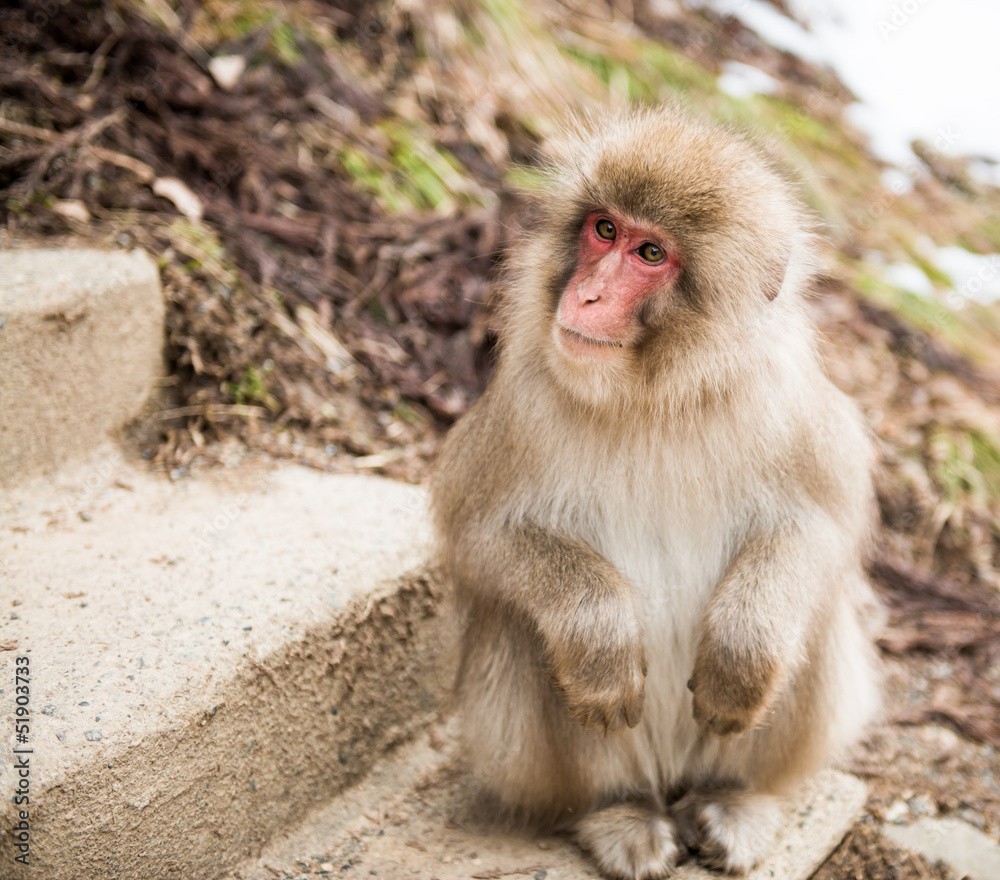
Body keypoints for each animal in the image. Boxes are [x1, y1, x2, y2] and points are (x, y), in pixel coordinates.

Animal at [426, 105, 880, 880]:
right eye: (603, 230)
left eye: (649, 253)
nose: (587, 295)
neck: (655, 397)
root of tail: (671, 781)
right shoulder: (523, 398)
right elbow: (479, 536)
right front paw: (600, 633)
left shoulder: (788, 400)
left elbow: (825, 527)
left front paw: (742, 649)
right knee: (524, 627)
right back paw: (619, 811)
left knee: (811, 615)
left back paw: (731, 797)